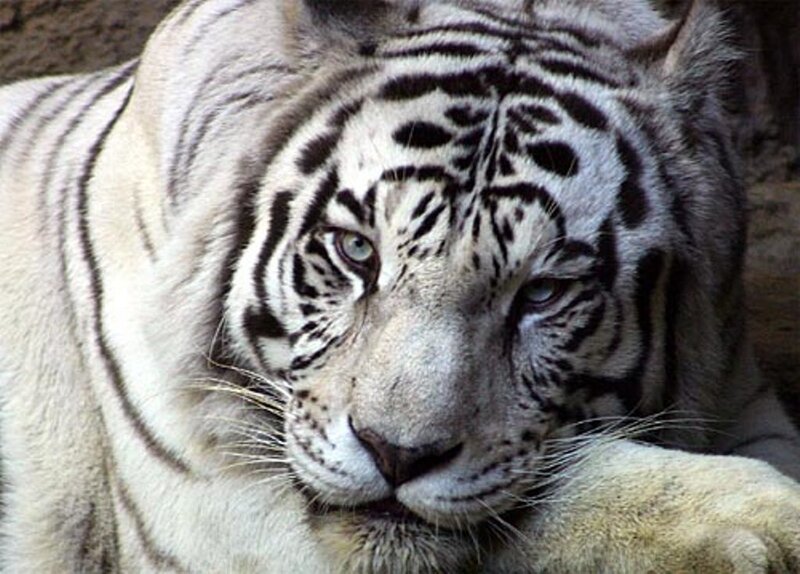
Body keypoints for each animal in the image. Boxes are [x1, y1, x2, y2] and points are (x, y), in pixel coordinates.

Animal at [1, 0, 799, 571]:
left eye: (541, 294)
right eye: (357, 252)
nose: (397, 456)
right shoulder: (204, 494)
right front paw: (763, 522)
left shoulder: (745, 394)